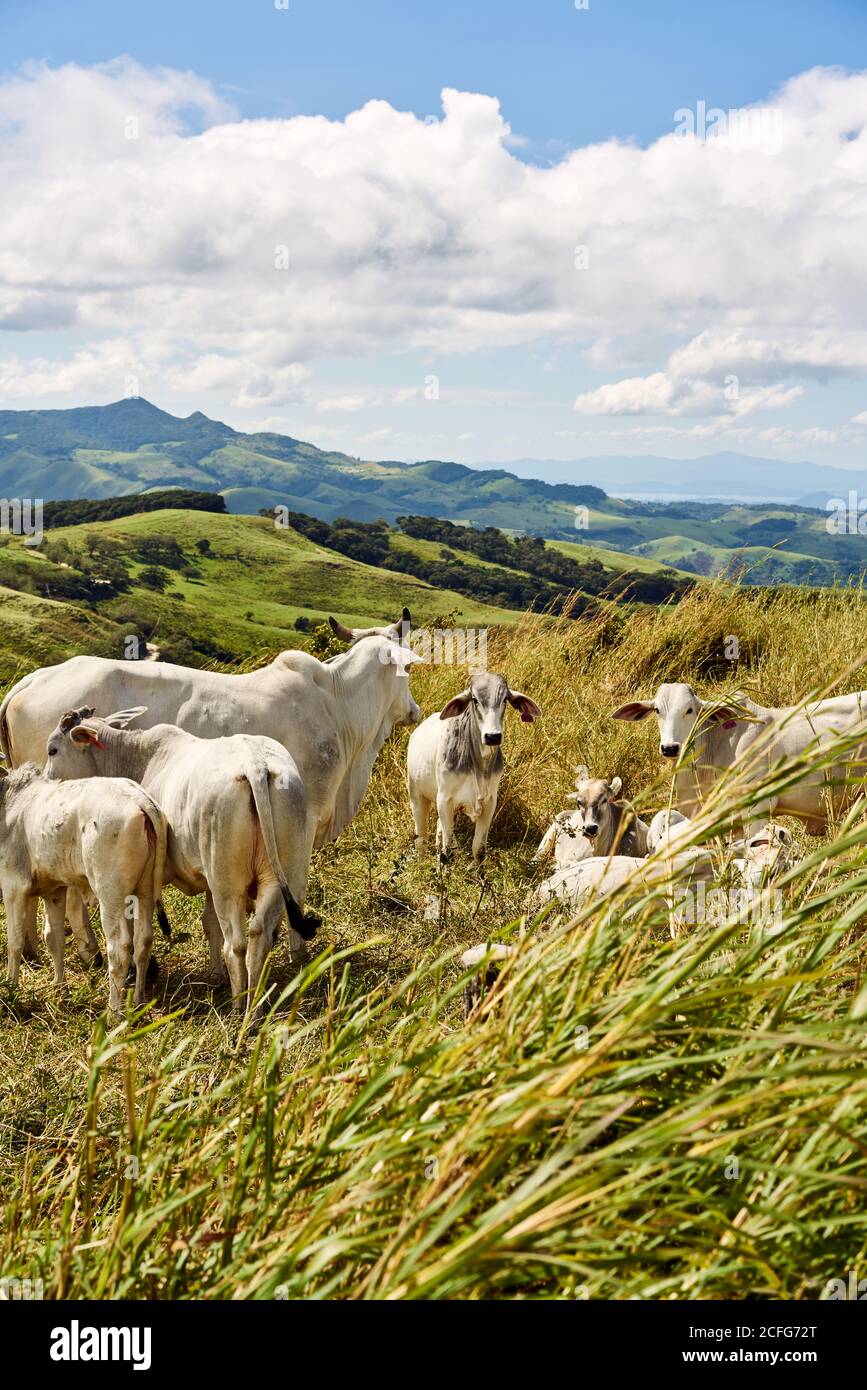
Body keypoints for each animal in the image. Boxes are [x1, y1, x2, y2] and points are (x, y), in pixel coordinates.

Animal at [0, 762, 167, 1010]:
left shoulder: (13, 887)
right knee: (143, 941)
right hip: (145, 890)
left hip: (110, 894)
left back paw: (113, 1011)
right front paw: (59, 989)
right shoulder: (54, 891)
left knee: (119, 949)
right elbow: (54, 939)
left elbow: (16, 940)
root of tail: (139, 798)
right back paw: (138, 1001)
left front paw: (11, 988)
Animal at [44, 708, 321, 1013]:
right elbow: (209, 924)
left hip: (226, 881)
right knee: (260, 934)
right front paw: (214, 975)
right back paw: (255, 1006)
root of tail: (255, 764)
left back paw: (239, 1007)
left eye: (52, 749)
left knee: (236, 944)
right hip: (278, 873)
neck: (139, 758)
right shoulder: (206, 881)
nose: (49, 782)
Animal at [406, 672, 541, 863]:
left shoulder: (489, 802)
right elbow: (447, 852)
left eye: (505, 699)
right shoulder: (444, 799)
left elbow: (479, 849)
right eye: (475, 699)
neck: (479, 765)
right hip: (416, 796)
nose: (493, 736)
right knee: (422, 838)